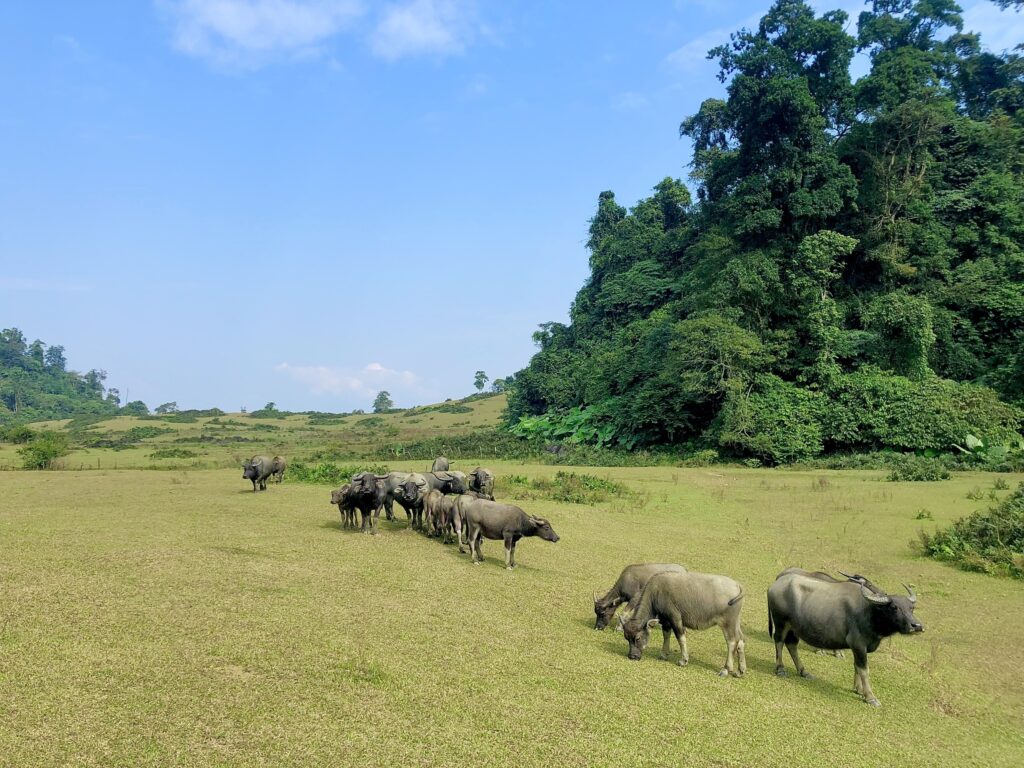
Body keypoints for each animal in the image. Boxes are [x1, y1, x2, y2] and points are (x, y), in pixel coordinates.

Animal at [618, 573, 749, 679]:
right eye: (626, 638)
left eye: (638, 638)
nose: (632, 656)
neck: (656, 592)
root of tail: (737, 585)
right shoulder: (665, 620)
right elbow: (666, 634)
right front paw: (664, 654)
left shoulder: (675, 618)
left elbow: (680, 637)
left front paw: (683, 660)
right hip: (736, 622)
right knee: (741, 640)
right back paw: (740, 671)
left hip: (727, 623)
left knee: (732, 642)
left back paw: (725, 669)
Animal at [765, 569, 925, 708]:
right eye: (894, 607)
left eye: (911, 608)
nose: (916, 626)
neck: (869, 612)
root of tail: (775, 585)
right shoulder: (858, 644)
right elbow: (864, 669)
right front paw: (870, 697)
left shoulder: (859, 647)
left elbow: (857, 666)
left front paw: (858, 689)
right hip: (781, 622)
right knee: (779, 642)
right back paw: (780, 669)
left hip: (794, 627)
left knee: (792, 645)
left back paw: (804, 672)